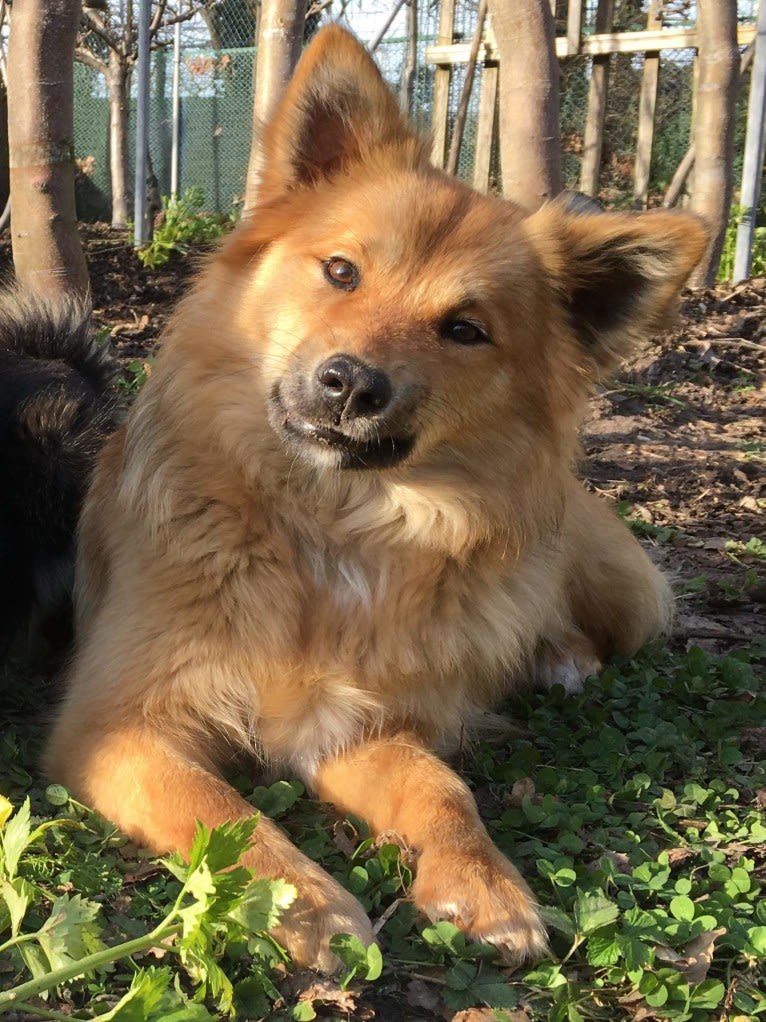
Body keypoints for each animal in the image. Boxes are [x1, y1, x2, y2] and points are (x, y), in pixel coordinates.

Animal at [46, 21, 706, 964]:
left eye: (465, 329)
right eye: (340, 272)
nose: (352, 384)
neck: (327, 526)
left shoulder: (355, 724)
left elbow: (440, 789)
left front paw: (480, 880)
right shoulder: (117, 724)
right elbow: (220, 811)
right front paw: (300, 902)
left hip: (619, 587)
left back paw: (558, 657)